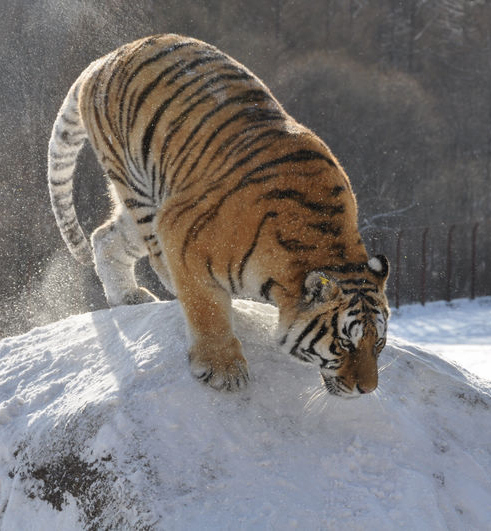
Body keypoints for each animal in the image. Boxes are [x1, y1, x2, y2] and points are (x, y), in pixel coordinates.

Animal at [48, 33, 390, 396]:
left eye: (378, 344)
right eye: (343, 343)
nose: (367, 388)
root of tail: (106, 57)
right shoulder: (181, 230)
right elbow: (205, 307)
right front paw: (222, 370)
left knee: (104, 237)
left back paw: (128, 296)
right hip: (140, 190)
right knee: (151, 252)